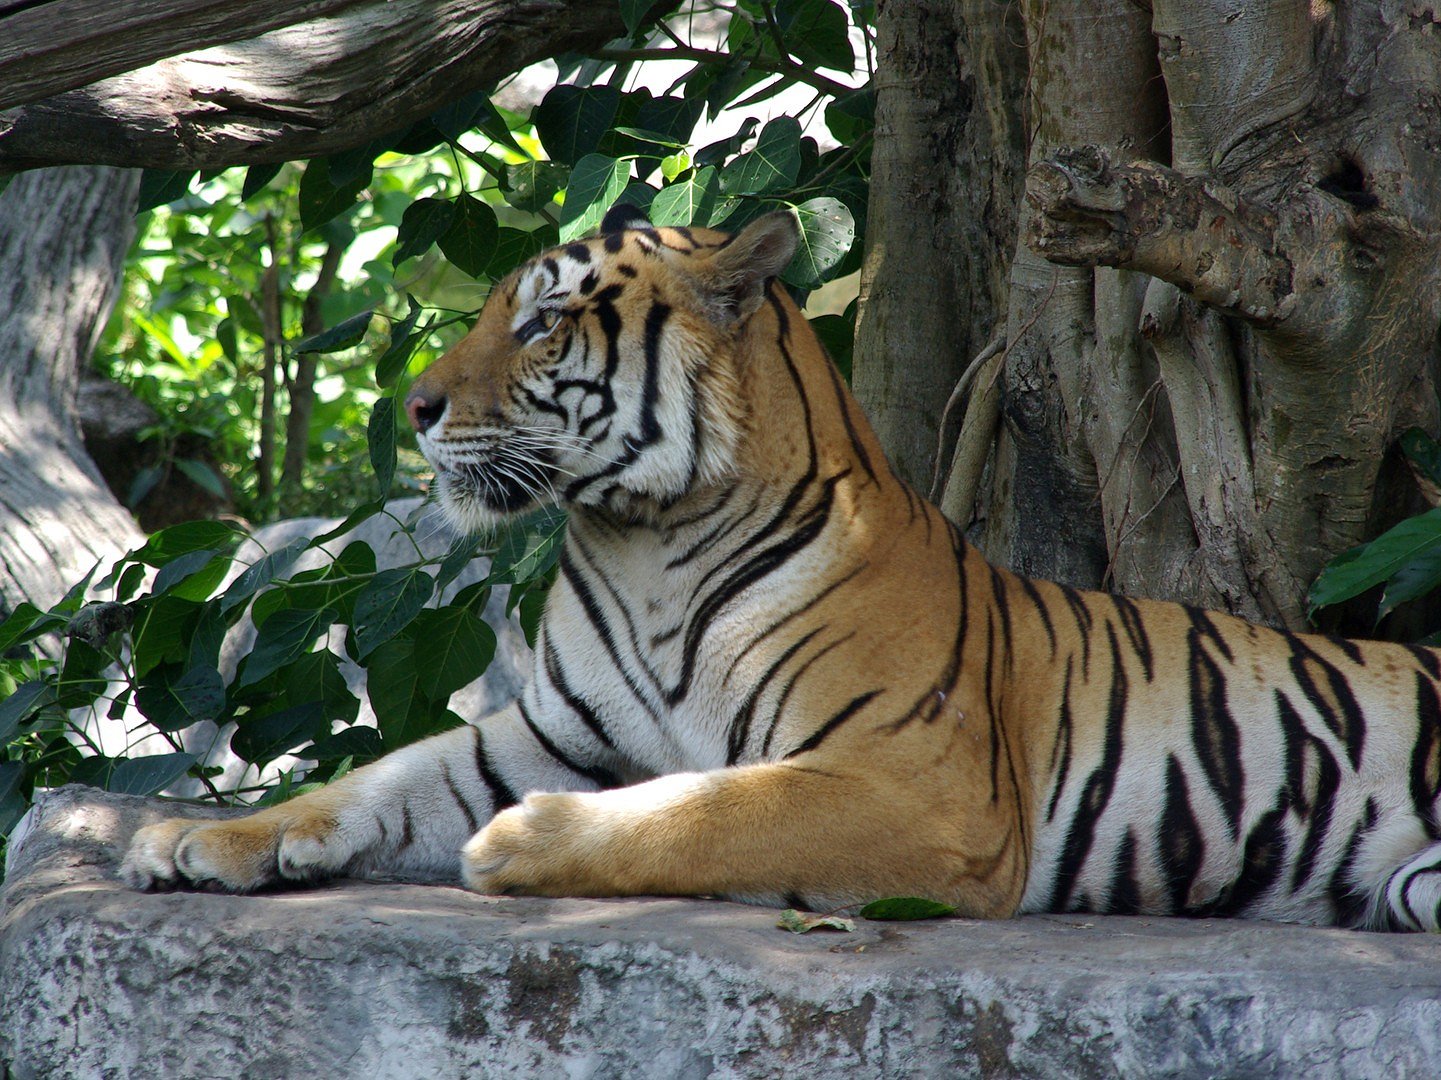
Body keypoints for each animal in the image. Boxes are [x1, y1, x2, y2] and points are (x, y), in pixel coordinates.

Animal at [121, 204, 1441, 932]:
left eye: (541, 323)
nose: (413, 407)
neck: (642, 540)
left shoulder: (914, 779)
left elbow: (710, 811)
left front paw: (519, 846)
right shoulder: (540, 732)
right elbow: (378, 778)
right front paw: (198, 840)